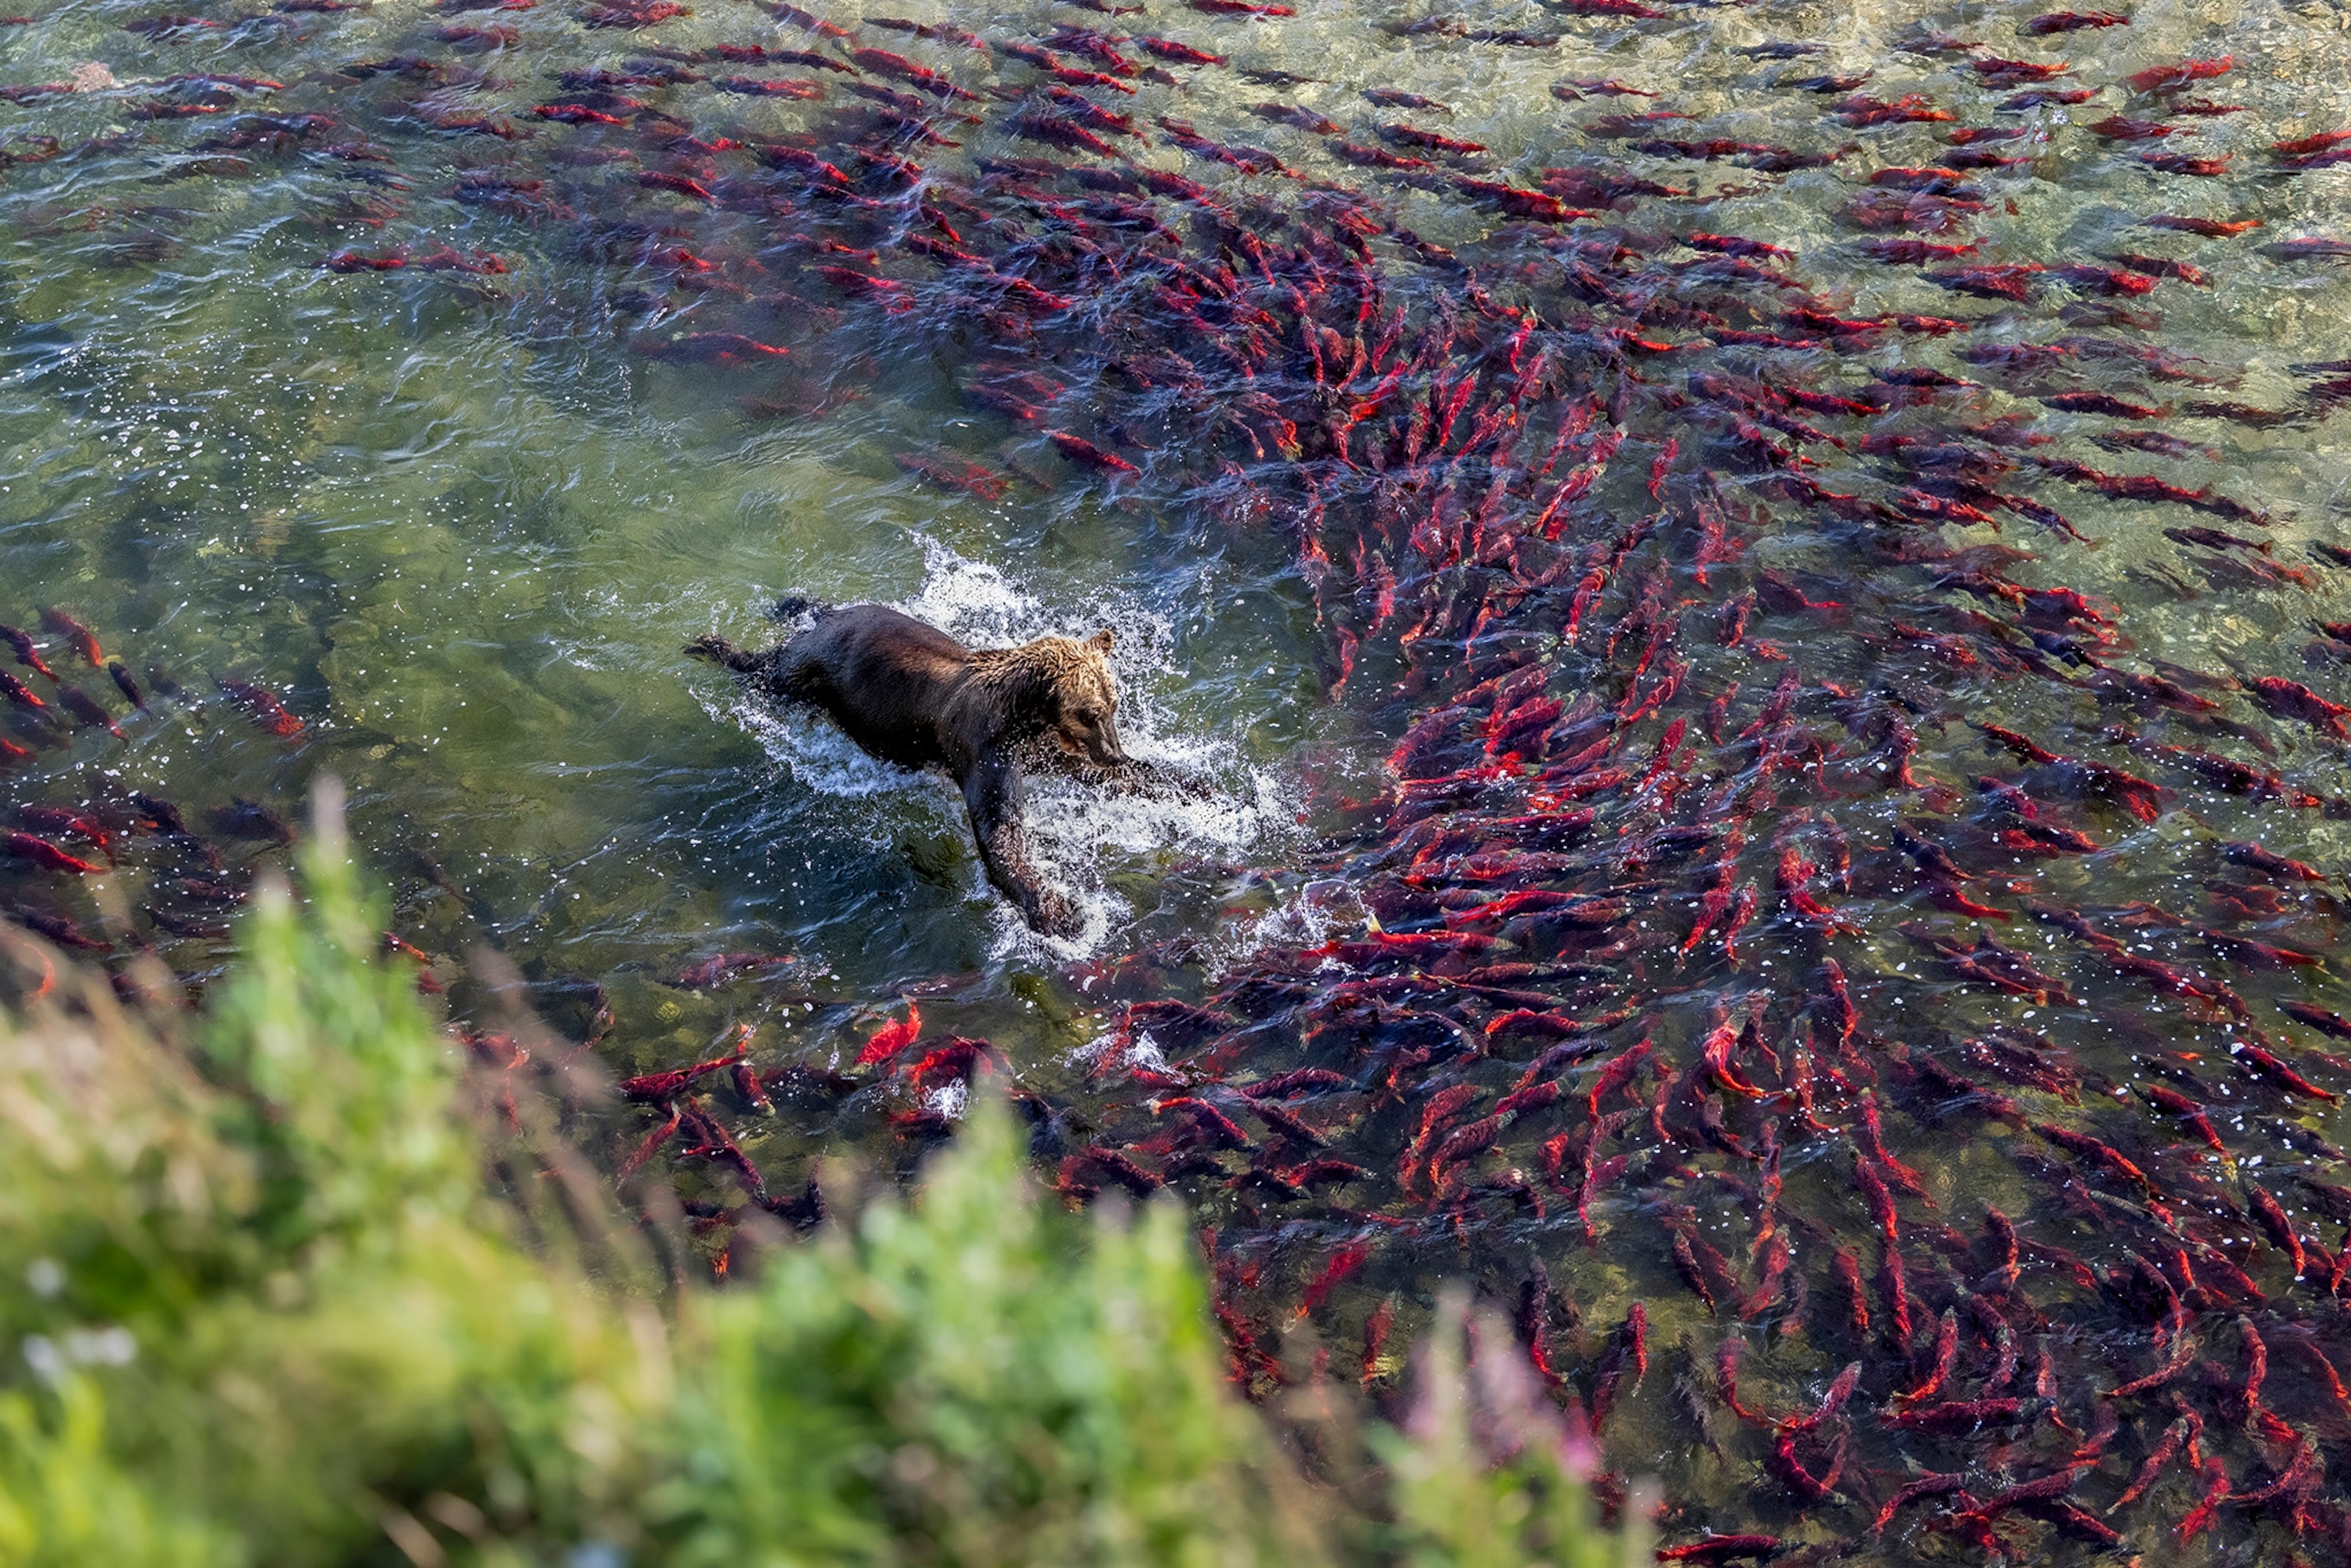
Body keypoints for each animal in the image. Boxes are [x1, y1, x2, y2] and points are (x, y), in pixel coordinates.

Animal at [688, 598, 1200, 937]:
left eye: (1114, 705)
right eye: (1090, 712)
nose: (1112, 749)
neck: (1025, 717)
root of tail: (830, 619)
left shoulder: (1045, 749)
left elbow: (1115, 778)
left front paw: (1198, 791)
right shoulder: (983, 748)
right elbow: (999, 828)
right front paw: (1060, 911)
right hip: (812, 670)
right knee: (769, 671)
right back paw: (713, 646)